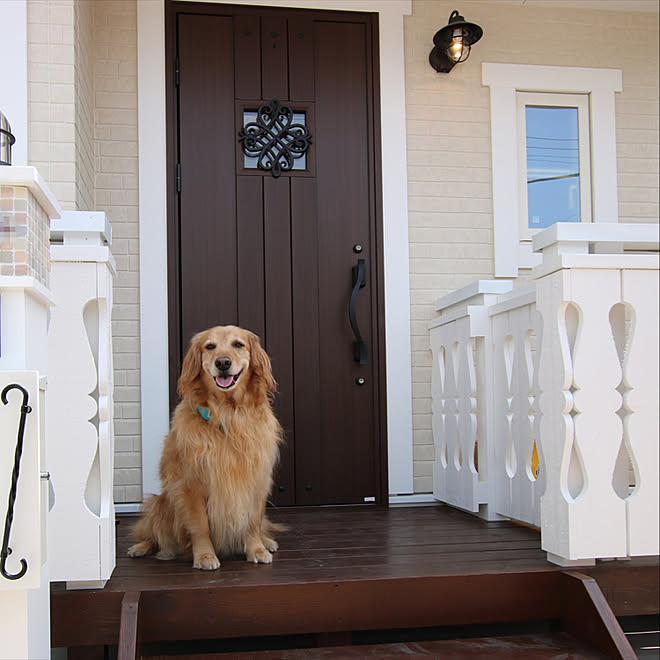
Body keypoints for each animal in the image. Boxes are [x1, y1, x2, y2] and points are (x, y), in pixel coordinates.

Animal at [127, 324, 282, 568]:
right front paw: (205, 556)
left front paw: (256, 549)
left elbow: (253, 522)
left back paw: (268, 541)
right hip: (158, 502)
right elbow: (200, 526)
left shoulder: (257, 479)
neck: (227, 414)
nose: (223, 363)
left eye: (238, 344)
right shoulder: (191, 483)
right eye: (210, 346)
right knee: (152, 534)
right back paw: (141, 547)